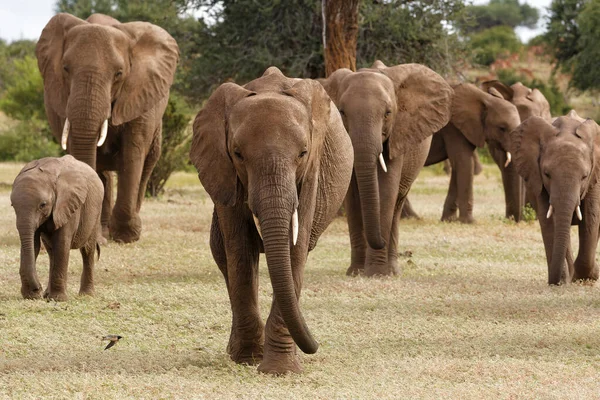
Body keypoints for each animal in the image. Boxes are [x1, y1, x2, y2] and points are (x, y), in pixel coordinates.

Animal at [11, 155, 104, 300]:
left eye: (43, 205)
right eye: (13, 206)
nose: (37, 288)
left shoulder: (69, 204)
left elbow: (62, 243)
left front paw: (58, 299)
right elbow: (34, 244)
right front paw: (32, 296)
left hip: (96, 211)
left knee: (87, 250)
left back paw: (86, 295)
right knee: (51, 251)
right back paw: (47, 295)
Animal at [35, 12, 178, 242]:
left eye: (119, 73)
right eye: (65, 68)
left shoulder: (139, 94)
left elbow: (133, 152)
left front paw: (126, 236)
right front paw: (97, 237)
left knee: (146, 165)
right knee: (103, 171)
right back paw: (102, 233)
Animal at [190, 66, 354, 376]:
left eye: (303, 153)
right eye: (238, 154)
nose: (315, 345)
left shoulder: (312, 172)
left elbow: (295, 251)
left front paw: (280, 369)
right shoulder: (223, 168)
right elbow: (240, 250)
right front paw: (248, 359)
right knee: (222, 254)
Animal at [322, 61, 452, 276]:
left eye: (388, 113)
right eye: (342, 112)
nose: (379, 241)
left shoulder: (399, 133)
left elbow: (386, 189)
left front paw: (376, 273)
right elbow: (352, 196)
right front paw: (356, 272)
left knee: (397, 203)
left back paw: (392, 270)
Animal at [508, 111, 600, 284]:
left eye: (584, 176)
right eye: (547, 174)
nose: (553, 281)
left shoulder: (596, 176)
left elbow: (591, 218)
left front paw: (587, 277)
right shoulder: (536, 176)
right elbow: (549, 220)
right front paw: (563, 281)